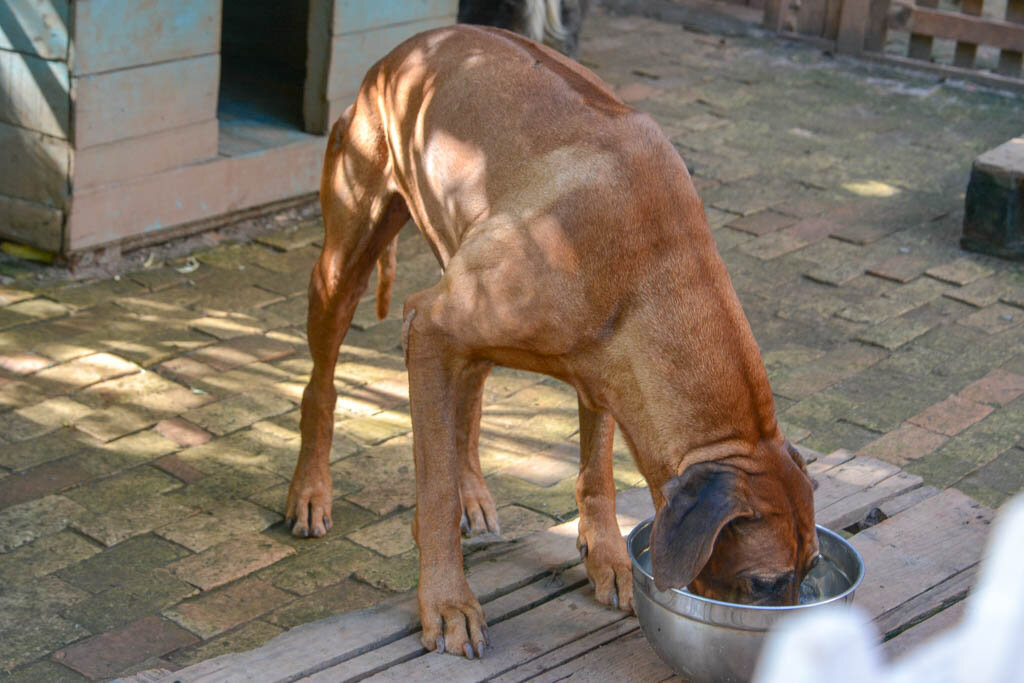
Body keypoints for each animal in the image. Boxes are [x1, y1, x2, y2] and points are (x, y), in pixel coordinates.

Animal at [286, 25, 815, 655]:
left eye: (811, 569)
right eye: (765, 583)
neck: (654, 261)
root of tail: (408, 46)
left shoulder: (608, 370)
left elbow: (597, 472)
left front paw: (609, 556)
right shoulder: (432, 325)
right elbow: (433, 491)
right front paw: (446, 600)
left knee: (469, 396)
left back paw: (473, 491)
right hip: (344, 262)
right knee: (322, 383)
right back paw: (310, 489)